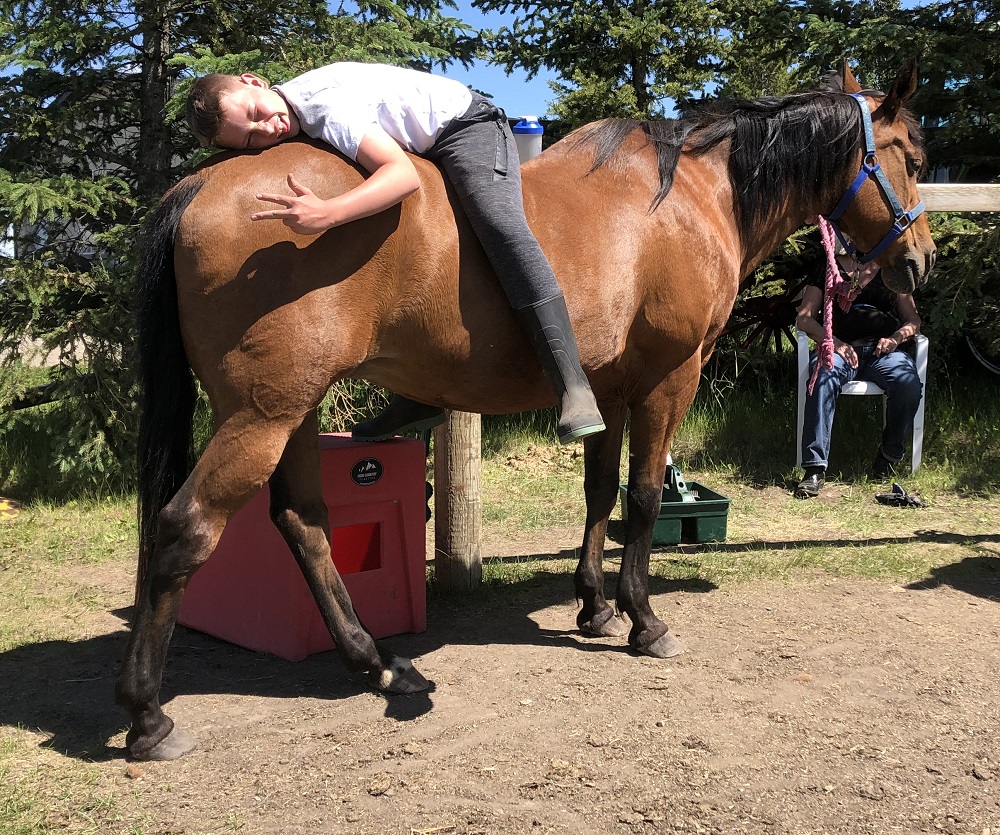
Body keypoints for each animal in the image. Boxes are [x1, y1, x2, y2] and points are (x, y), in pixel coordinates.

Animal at [117, 62, 936, 760]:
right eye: (916, 156)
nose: (921, 261)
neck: (692, 196)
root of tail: (197, 186)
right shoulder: (669, 380)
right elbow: (643, 498)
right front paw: (644, 619)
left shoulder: (610, 389)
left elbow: (600, 493)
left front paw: (595, 605)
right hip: (262, 415)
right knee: (186, 529)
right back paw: (149, 715)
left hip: (295, 412)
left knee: (304, 523)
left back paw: (381, 665)